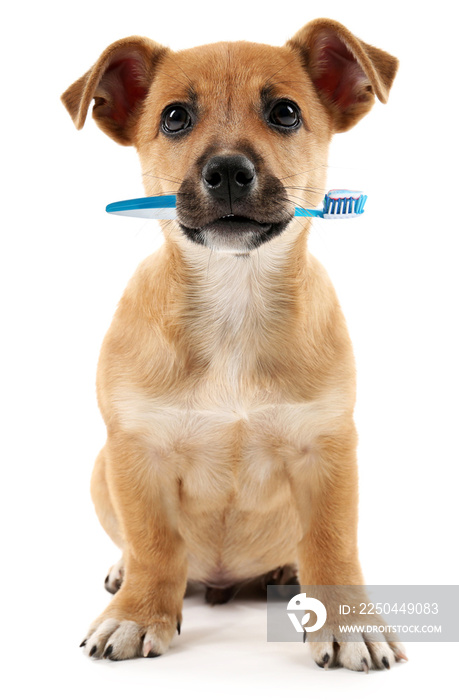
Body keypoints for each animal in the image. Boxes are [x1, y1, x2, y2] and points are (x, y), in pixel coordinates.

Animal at [61, 19, 402, 668]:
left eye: (285, 112)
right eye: (174, 117)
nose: (226, 172)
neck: (234, 301)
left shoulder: (327, 450)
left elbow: (333, 543)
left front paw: (348, 621)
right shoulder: (136, 452)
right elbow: (153, 543)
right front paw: (139, 613)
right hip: (100, 469)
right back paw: (124, 572)